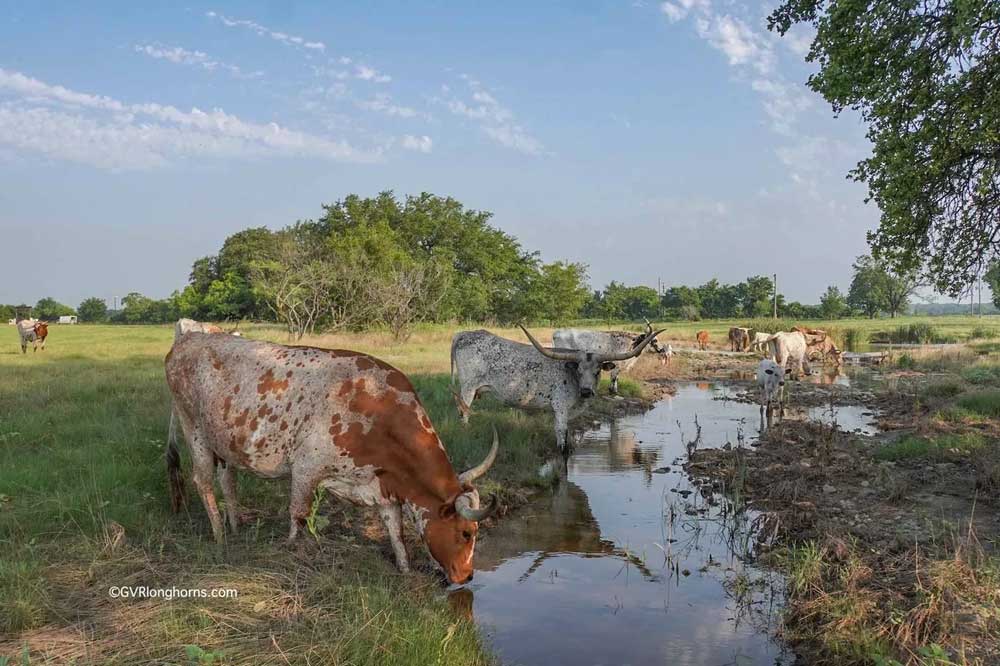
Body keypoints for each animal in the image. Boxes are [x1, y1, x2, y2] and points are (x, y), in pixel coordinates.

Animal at [450, 324, 660, 448]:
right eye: (578, 369)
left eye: (597, 371)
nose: (586, 391)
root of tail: (463, 334)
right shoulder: (560, 409)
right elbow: (562, 438)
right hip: (467, 389)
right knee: (463, 413)